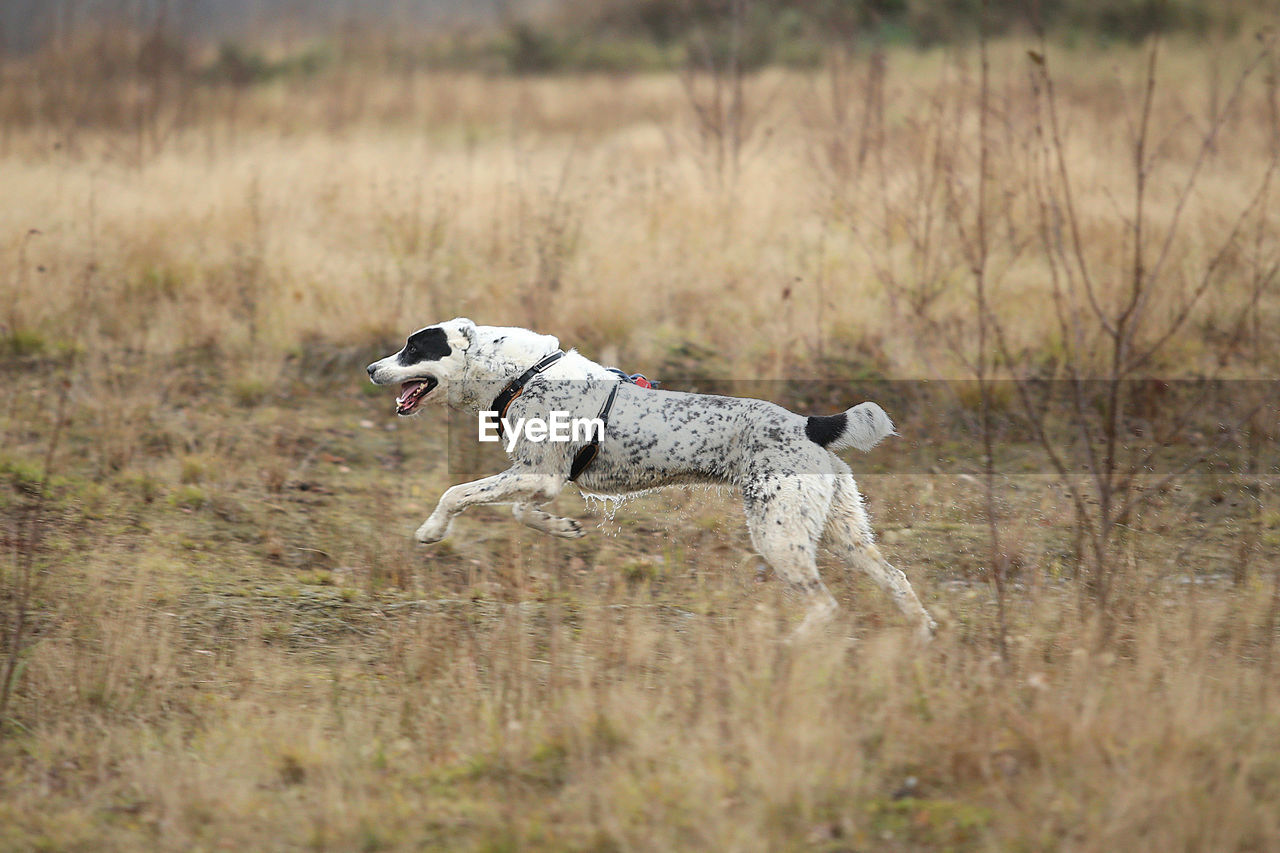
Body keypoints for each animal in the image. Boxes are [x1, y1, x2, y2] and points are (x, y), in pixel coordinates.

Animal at [366, 318, 936, 637]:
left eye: (413, 349)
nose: (371, 369)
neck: (521, 374)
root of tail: (810, 424)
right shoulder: (542, 478)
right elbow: (524, 511)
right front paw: (563, 529)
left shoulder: (540, 474)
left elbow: (456, 493)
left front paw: (431, 531)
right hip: (844, 533)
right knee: (897, 579)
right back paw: (923, 634)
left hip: (780, 536)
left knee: (825, 605)